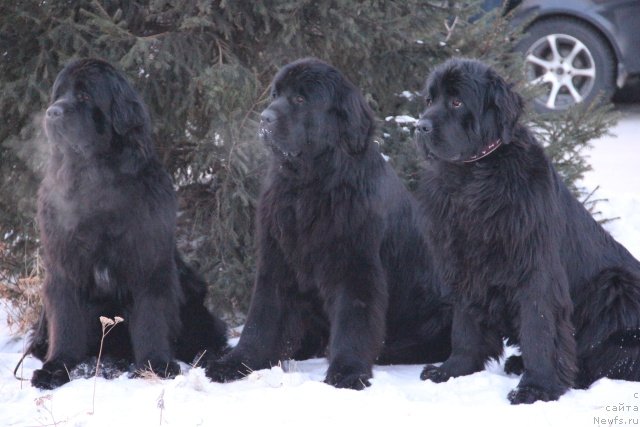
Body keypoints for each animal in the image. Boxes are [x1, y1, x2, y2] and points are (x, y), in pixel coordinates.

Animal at [31, 58, 230, 390]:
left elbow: (151, 316)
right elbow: (66, 319)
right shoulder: (65, 264)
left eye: (84, 96)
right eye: (59, 95)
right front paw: (56, 367)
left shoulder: (148, 263)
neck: (94, 182)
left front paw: (156, 365)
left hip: (191, 289)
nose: (52, 112)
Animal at [205, 57, 450, 392]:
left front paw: (347, 372)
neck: (310, 185)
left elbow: (353, 322)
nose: (265, 118)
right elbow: (262, 319)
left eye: (300, 99)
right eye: (275, 95)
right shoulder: (277, 260)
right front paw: (235, 363)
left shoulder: (355, 267)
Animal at [412, 59, 640, 404]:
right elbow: (465, 325)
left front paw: (537, 388)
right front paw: (453, 369)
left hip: (616, 285)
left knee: (615, 358)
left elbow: (539, 328)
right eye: (429, 99)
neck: (474, 175)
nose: (420, 126)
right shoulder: (465, 264)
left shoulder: (534, 269)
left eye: (456, 102)